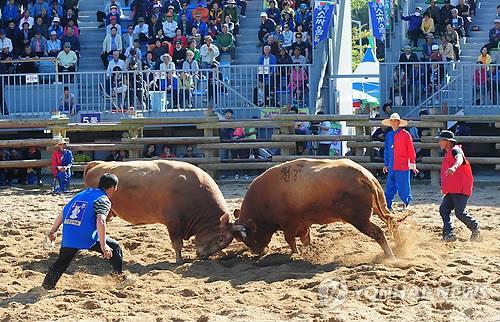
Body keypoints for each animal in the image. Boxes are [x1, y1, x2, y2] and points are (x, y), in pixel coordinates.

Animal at [84, 160, 236, 262]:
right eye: (221, 239)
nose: (203, 256)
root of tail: (98, 165)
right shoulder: (173, 223)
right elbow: (177, 244)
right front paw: (179, 260)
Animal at [232, 158, 412, 260]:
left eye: (249, 238)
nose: (259, 252)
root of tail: (363, 176)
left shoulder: (289, 224)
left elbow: (290, 239)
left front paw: (296, 254)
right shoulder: (302, 224)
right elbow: (305, 238)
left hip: (360, 220)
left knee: (379, 232)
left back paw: (391, 256)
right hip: (380, 207)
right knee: (392, 221)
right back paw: (400, 246)